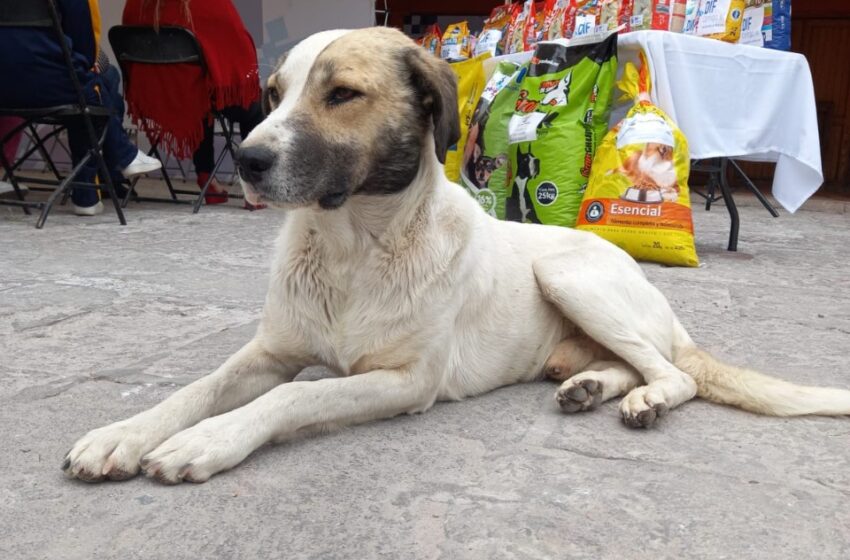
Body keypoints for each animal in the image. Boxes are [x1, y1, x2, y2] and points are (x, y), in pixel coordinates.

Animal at [64, 27, 848, 486]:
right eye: (274, 95)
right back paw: (590, 385)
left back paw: (645, 398)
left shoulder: (407, 381)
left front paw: (206, 442)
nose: (249, 162)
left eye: (341, 93)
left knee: (671, 373)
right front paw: (122, 435)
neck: (353, 248)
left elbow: (294, 395)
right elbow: (196, 387)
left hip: (568, 274)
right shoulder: (270, 350)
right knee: (631, 363)